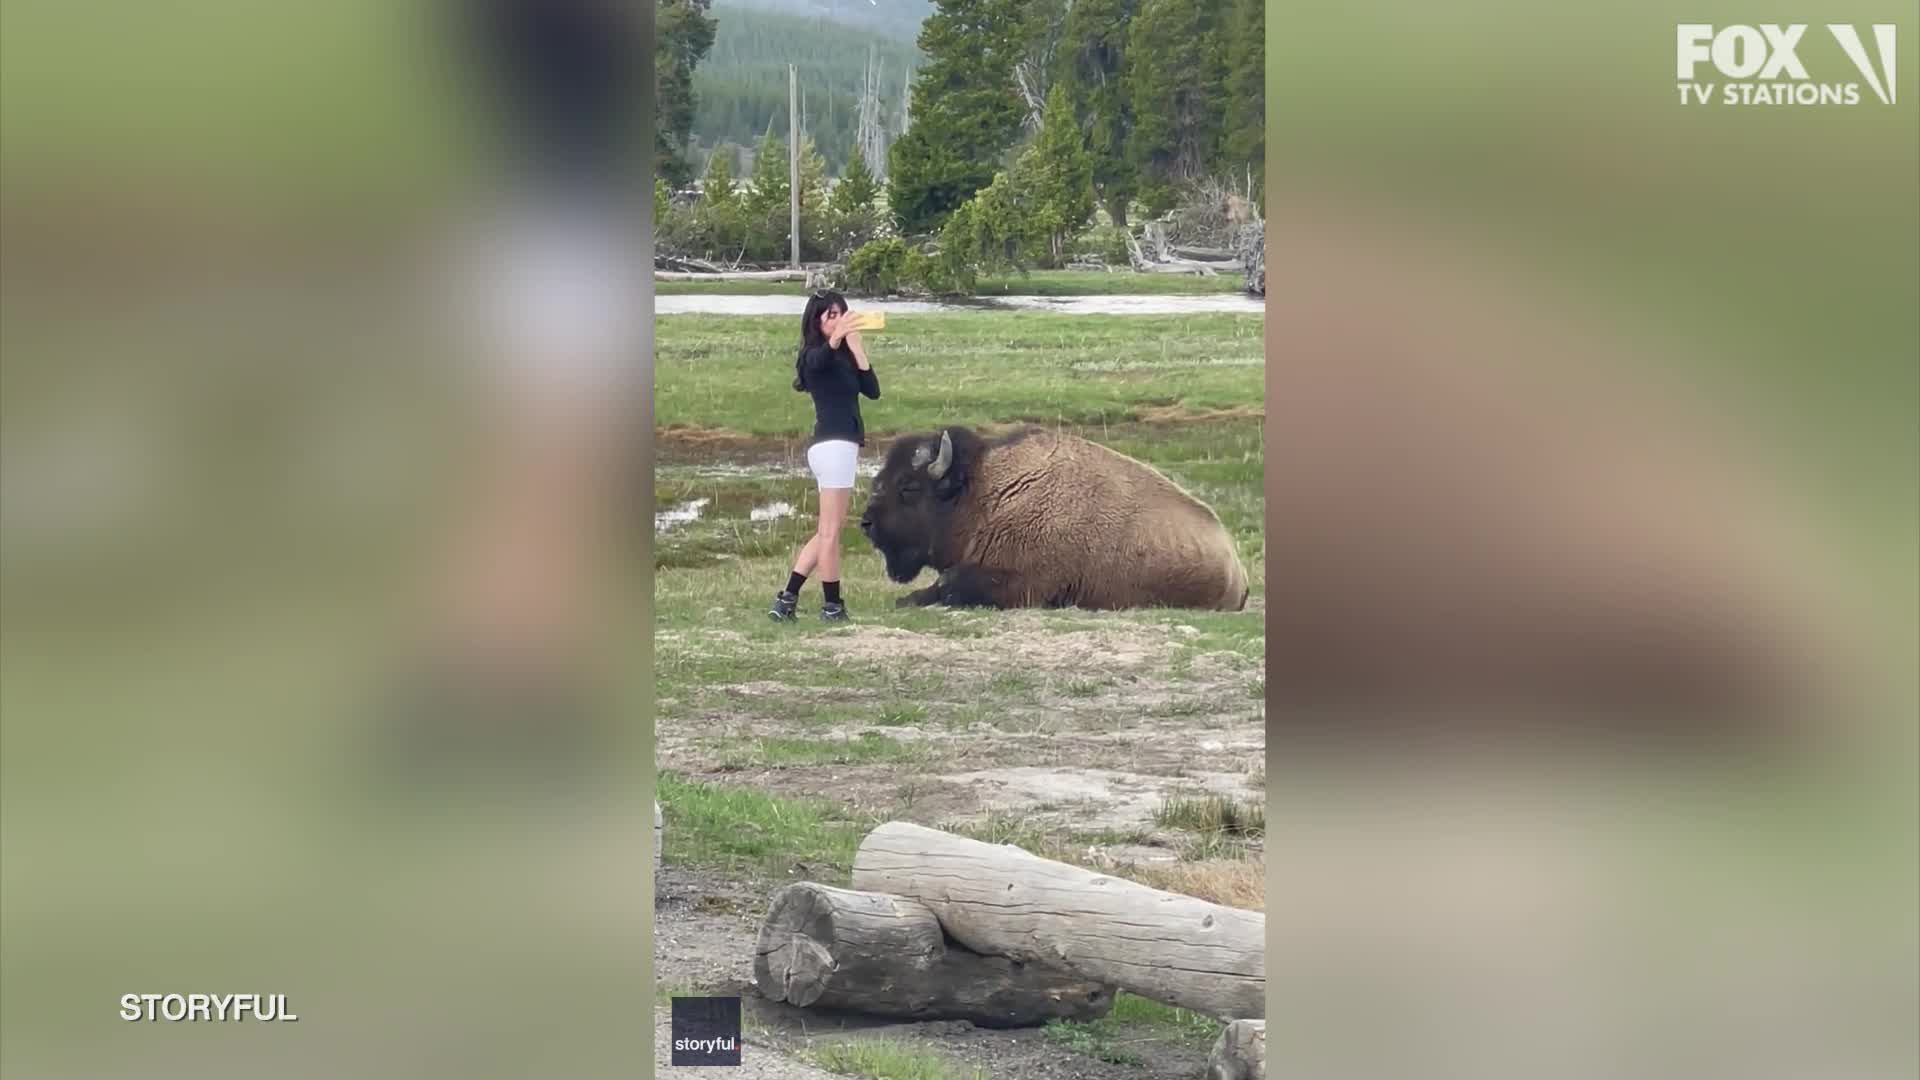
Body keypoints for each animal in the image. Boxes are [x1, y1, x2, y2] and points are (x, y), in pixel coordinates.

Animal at [858, 426, 1250, 611]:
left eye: (908, 487)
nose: (867, 523)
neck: (986, 494)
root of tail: (1236, 566)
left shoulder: (1024, 581)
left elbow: (950, 582)